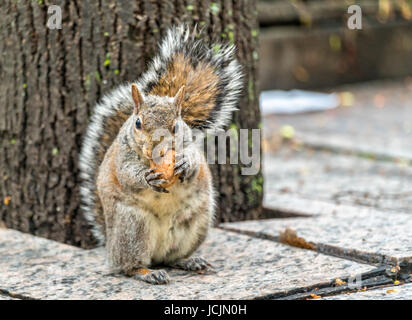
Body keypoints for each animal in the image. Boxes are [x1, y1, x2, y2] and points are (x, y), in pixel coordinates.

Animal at [79, 25, 243, 284]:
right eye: (137, 123)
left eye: (176, 127)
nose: (157, 146)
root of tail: (110, 246)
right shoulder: (122, 157)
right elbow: (127, 174)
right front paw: (147, 178)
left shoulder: (191, 146)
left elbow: (195, 164)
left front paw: (185, 164)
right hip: (132, 228)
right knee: (128, 266)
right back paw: (147, 272)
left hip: (194, 225)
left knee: (171, 258)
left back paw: (189, 261)